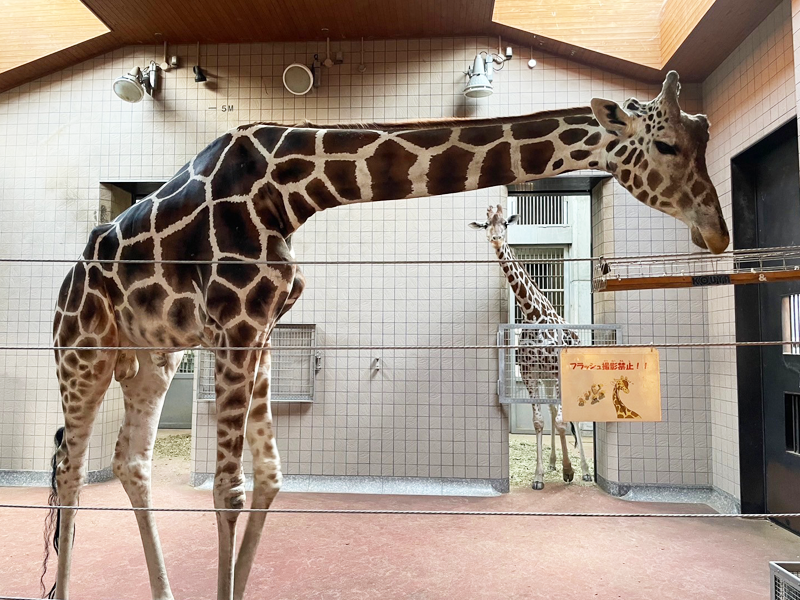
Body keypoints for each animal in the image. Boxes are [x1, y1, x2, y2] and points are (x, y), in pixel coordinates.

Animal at [468, 204, 592, 490]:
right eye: (485, 224)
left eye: (505, 223)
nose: (495, 238)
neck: (534, 314)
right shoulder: (530, 372)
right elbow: (539, 421)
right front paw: (540, 475)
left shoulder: (556, 370)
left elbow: (561, 421)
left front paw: (570, 471)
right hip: (547, 378)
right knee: (554, 409)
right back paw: (554, 462)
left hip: (569, 373)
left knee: (572, 414)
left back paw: (584, 470)